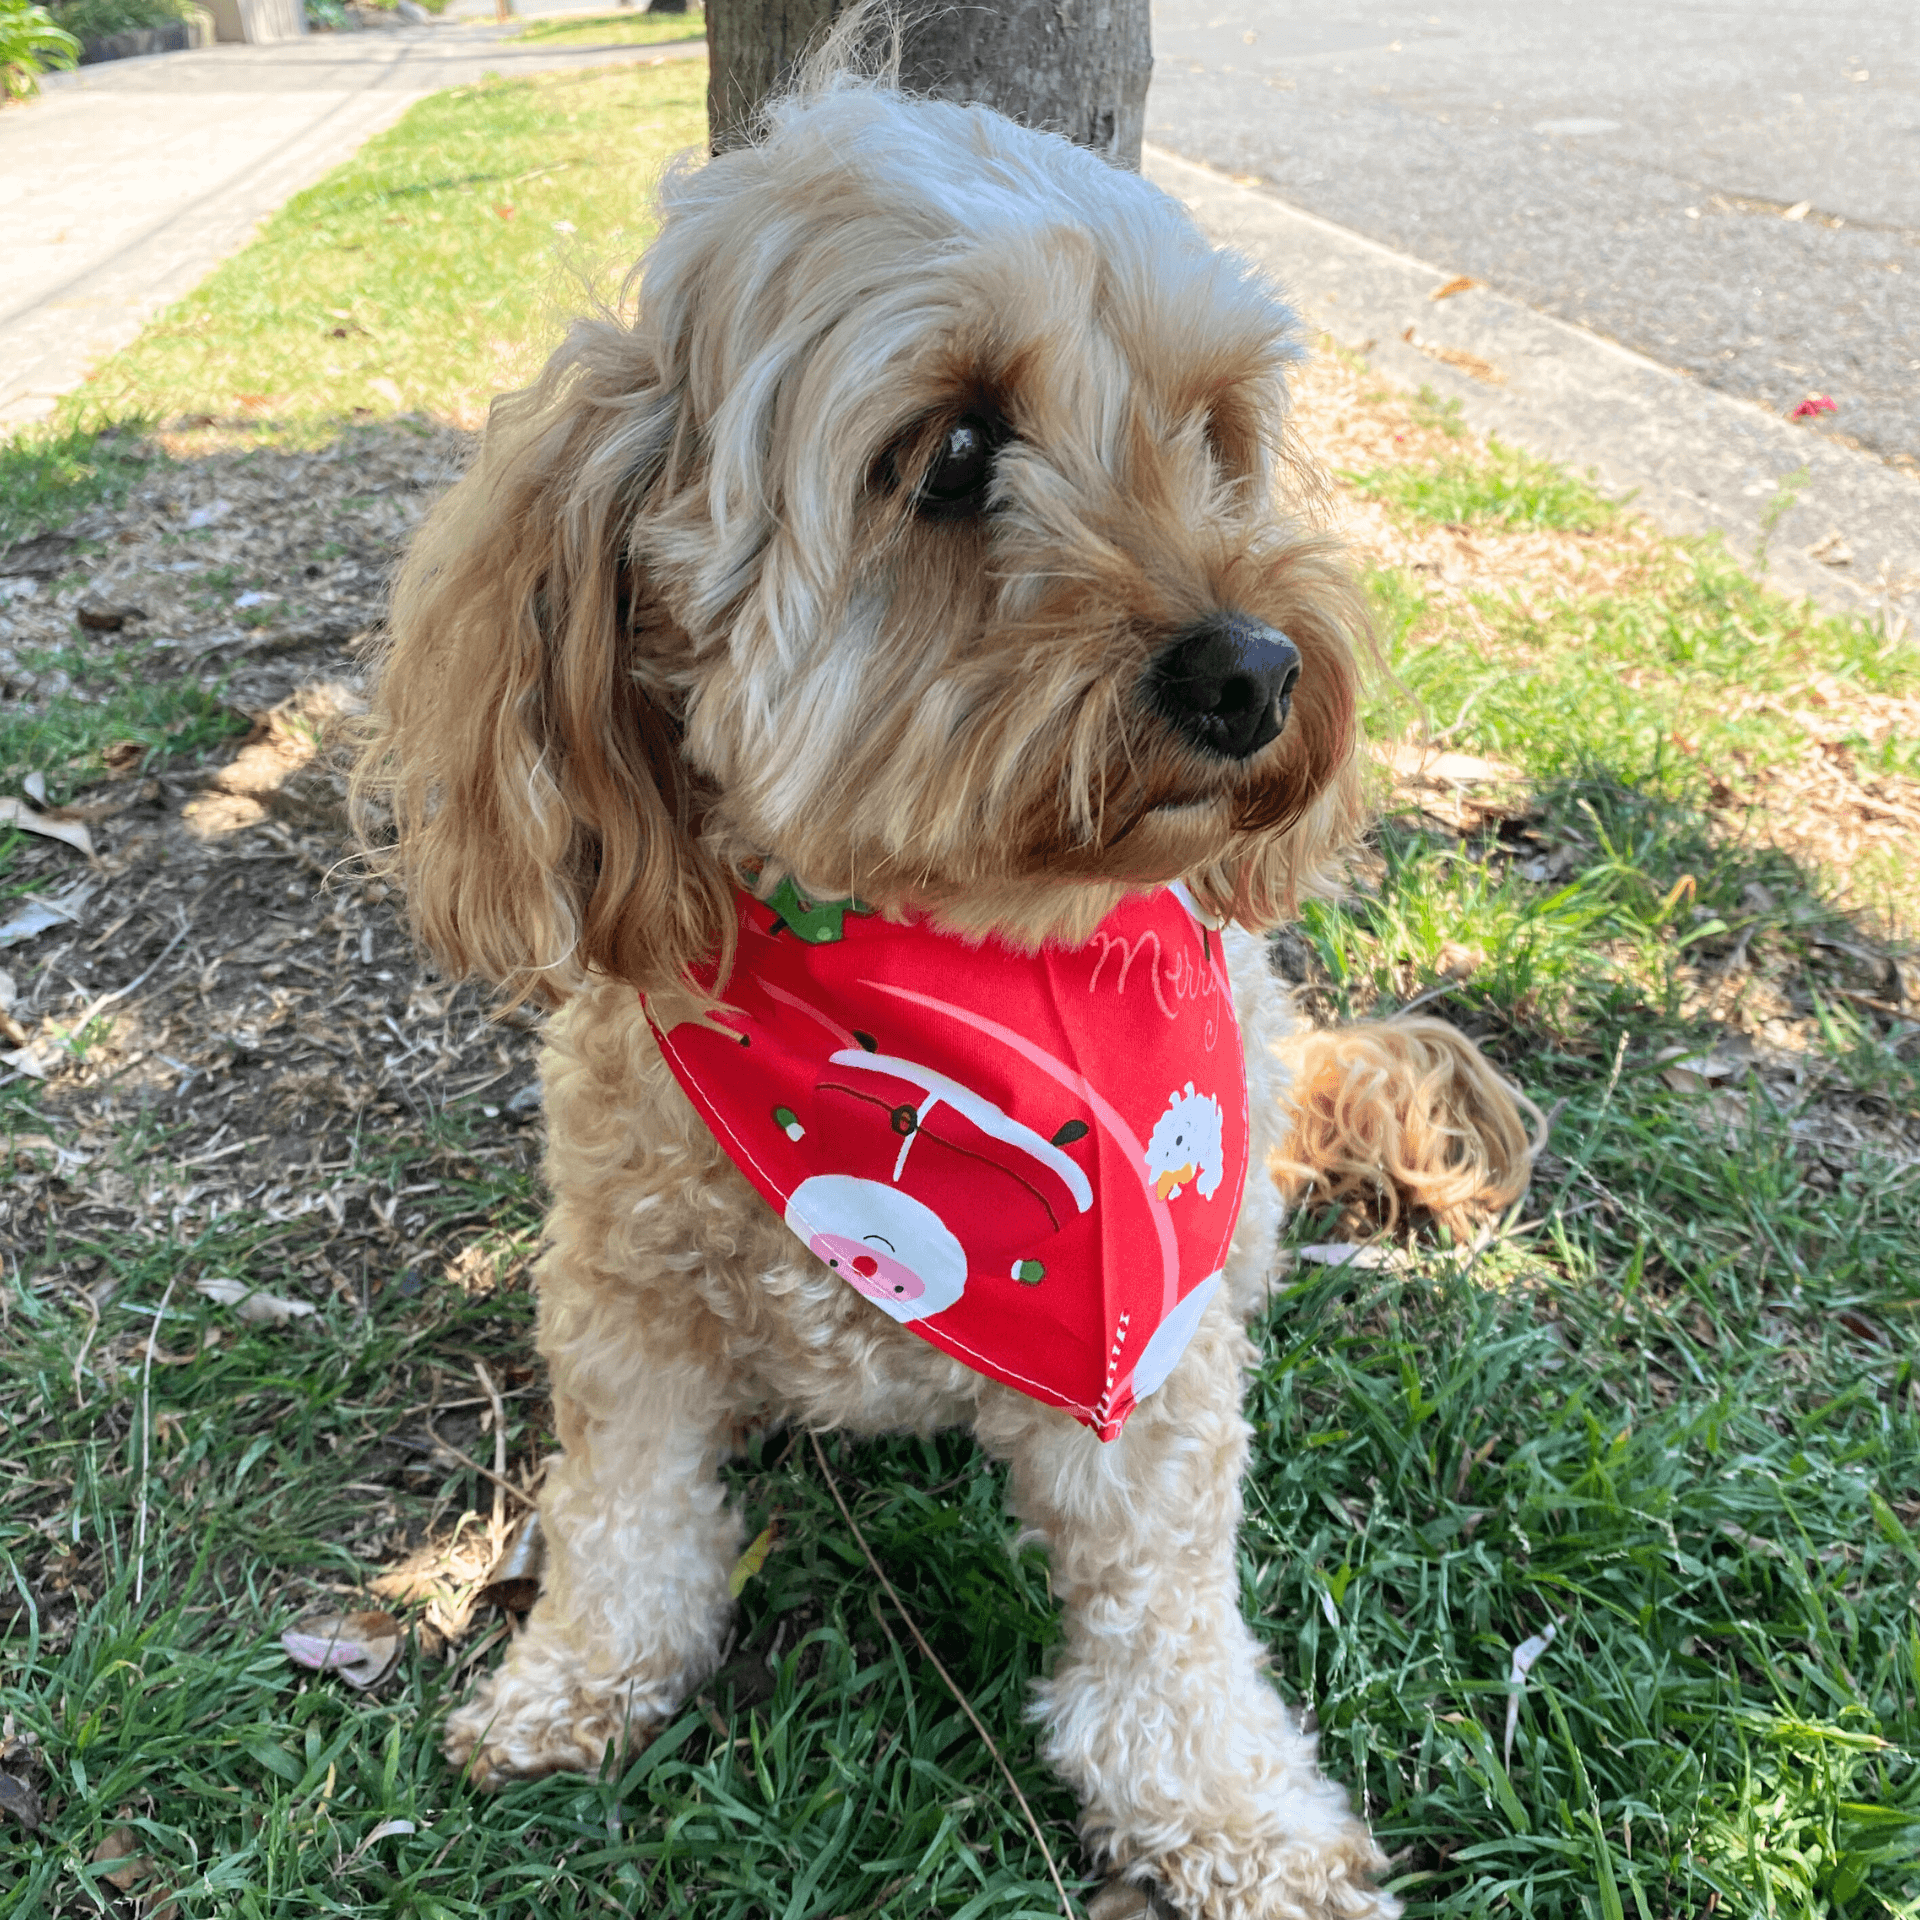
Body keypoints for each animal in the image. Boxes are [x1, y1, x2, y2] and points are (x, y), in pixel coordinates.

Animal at [353, 48, 1536, 1920]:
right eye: (960, 448)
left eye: (1217, 434)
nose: (1256, 670)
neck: (957, 973)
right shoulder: (624, 1297)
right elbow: (630, 1514)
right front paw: (576, 1676)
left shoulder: (1144, 1369)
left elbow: (1161, 1630)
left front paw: (1235, 1818)